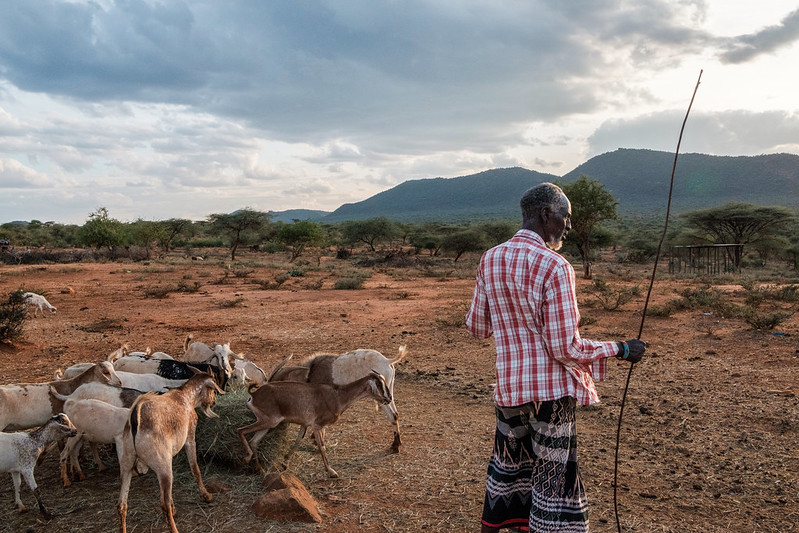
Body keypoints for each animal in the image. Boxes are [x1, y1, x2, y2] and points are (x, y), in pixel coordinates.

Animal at [117, 374, 224, 533]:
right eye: (212, 389)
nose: (214, 402)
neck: (186, 396)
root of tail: (136, 419)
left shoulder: (170, 455)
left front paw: (175, 508)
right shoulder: (189, 437)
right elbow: (195, 468)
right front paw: (207, 496)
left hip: (127, 464)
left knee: (122, 505)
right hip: (162, 466)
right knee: (163, 504)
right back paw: (174, 528)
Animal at [238, 370, 392, 478]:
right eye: (379, 384)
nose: (388, 399)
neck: (337, 396)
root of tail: (254, 395)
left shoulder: (306, 425)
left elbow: (298, 441)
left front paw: (285, 463)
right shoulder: (317, 426)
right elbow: (322, 447)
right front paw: (332, 472)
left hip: (268, 424)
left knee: (254, 441)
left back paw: (261, 470)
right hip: (268, 421)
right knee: (241, 430)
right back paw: (247, 458)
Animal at [270, 345, 407, 453]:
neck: (310, 373)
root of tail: (387, 361)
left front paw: (315, 438)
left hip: (382, 397)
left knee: (392, 415)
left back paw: (395, 447)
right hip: (389, 393)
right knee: (396, 414)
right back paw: (397, 444)